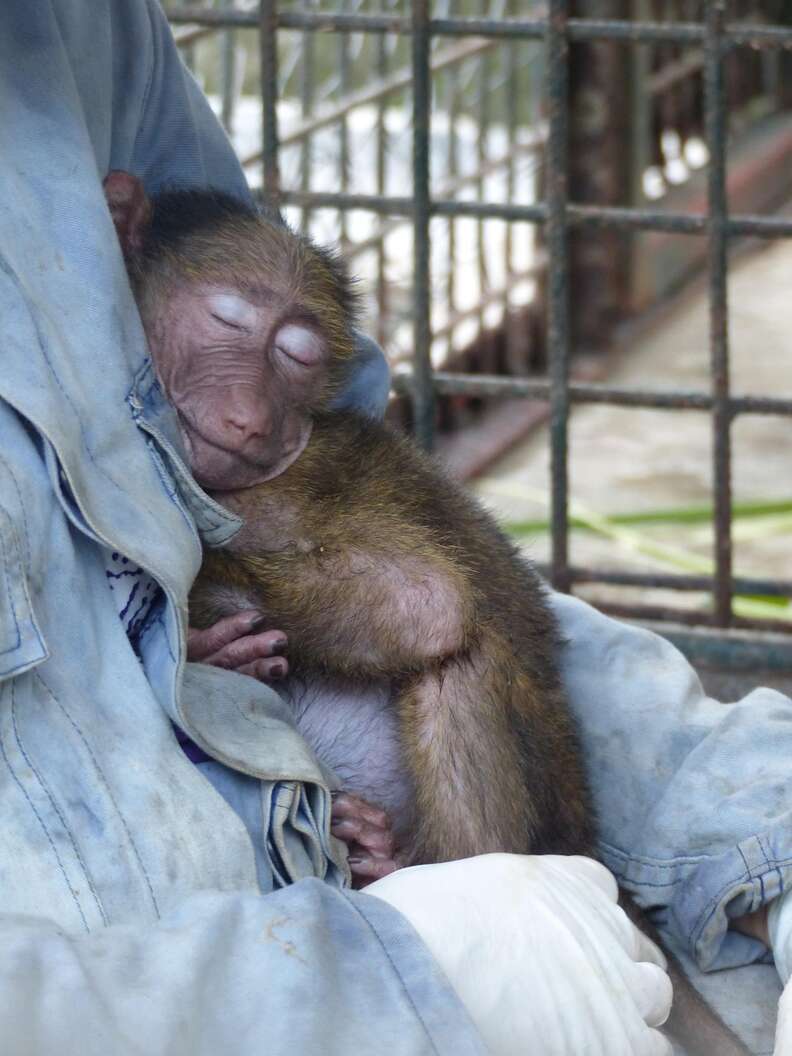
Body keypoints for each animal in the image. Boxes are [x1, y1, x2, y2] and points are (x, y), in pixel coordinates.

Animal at [105, 171, 752, 1056]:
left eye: (296, 357)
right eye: (227, 319)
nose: (251, 419)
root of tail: (581, 834)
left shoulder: (291, 479)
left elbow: (429, 603)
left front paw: (211, 622)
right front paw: (214, 639)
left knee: (465, 659)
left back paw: (431, 863)